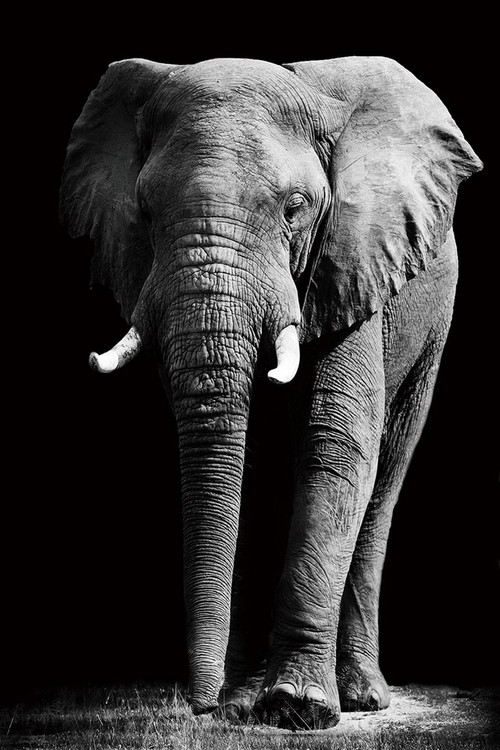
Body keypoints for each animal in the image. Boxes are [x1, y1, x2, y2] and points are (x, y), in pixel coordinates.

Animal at [60, 55, 482, 729]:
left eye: (295, 208)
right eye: (144, 213)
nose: (201, 706)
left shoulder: (352, 259)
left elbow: (335, 444)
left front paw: (296, 707)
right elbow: (240, 453)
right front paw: (243, 704)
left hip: (434, 324)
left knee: (385, 476)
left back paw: (361, 698)